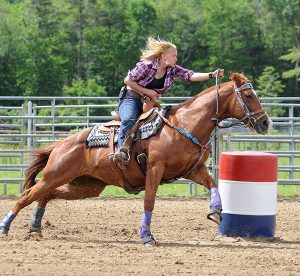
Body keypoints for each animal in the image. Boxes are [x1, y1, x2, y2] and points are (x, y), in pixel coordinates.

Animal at [0, 72, 270, 245]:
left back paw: (35, 227)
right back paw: (5, 227)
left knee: (45, 195)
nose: (266, 122)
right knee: (27, 195)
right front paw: (146, 236)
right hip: (57, 174)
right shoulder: (155, 168)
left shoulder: (193, 170)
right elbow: (149, 201)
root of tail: (61, 144)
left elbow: (213, 184)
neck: (183, 125)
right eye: (248, 96)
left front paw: (216, 211)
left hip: (86, 186)